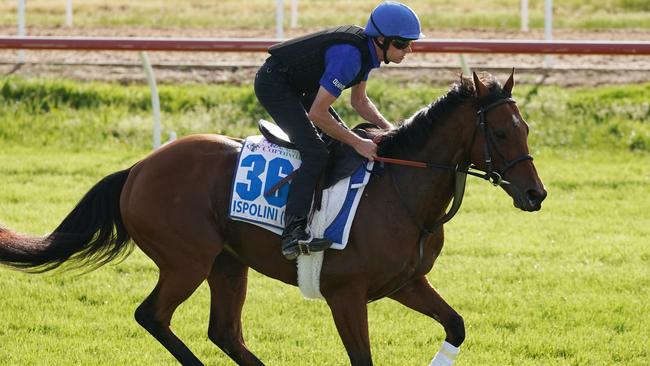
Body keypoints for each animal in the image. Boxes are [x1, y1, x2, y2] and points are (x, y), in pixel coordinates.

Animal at [0, 72, 544, 366]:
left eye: (526, 128)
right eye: (499, 131)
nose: (535, 194)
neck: (400, 190)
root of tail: (138, 167)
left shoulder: (406, 283)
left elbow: (456, 326)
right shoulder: (345, 294)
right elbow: (363, 356)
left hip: (227, 263)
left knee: (225, 332)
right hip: (186, 261)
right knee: (152, 315)